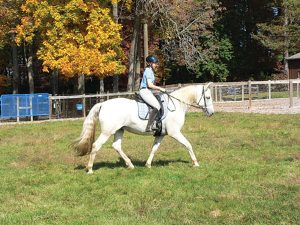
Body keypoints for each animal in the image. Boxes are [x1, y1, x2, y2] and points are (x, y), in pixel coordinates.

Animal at [72, 82, 213, 172]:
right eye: (207, 97)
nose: (211, 113)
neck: (176, 105)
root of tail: (103, 104)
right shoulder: (175, 132)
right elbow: (188, 144)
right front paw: (195, 163)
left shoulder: (161, 134)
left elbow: (154, 149)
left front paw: (148, 164)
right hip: (107, 131)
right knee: (96, 145)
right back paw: (90, 169)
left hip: (119, 130)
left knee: (116, 146)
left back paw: (130, 165)